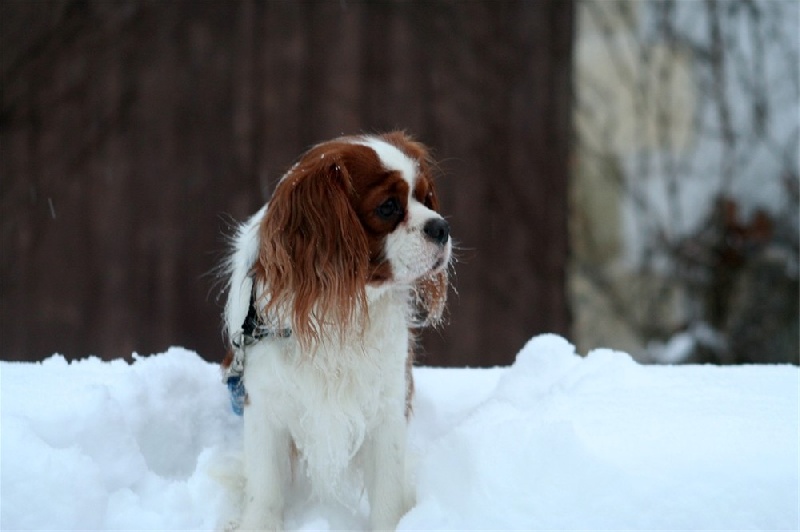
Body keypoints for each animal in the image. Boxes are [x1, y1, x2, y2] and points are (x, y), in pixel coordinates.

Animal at [222, 131, 454, 528]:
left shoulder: (387, 406)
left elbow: (388, 493)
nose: (441, 227)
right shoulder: (264, 405)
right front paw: (257, 525)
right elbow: (265, 488)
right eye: (388, 207)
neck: (339, 312)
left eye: (425, 198)